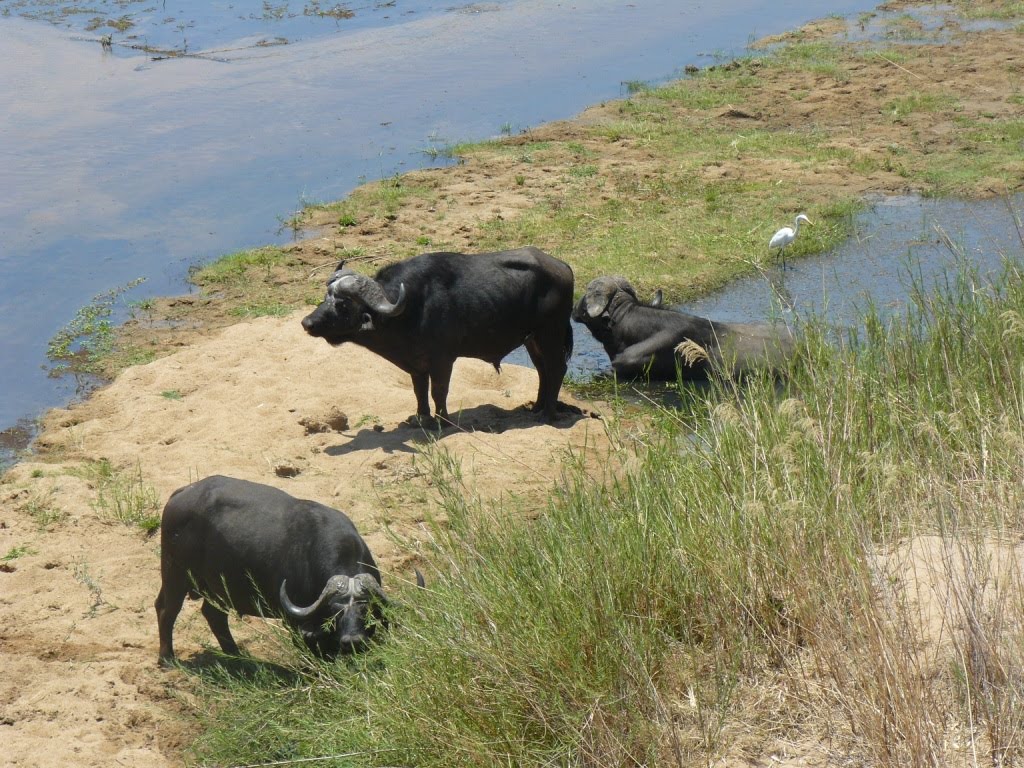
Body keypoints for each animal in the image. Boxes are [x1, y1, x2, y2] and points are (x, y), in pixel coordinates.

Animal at [155, 479, 411, 663]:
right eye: (334, 611)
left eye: (365, 609)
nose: (353, 641)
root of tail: (181, 493)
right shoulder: (297, 624)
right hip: (174, 573)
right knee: (167, 610)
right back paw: (167, 658)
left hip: (216, 588)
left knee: (213, 615)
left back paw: (238, 657)